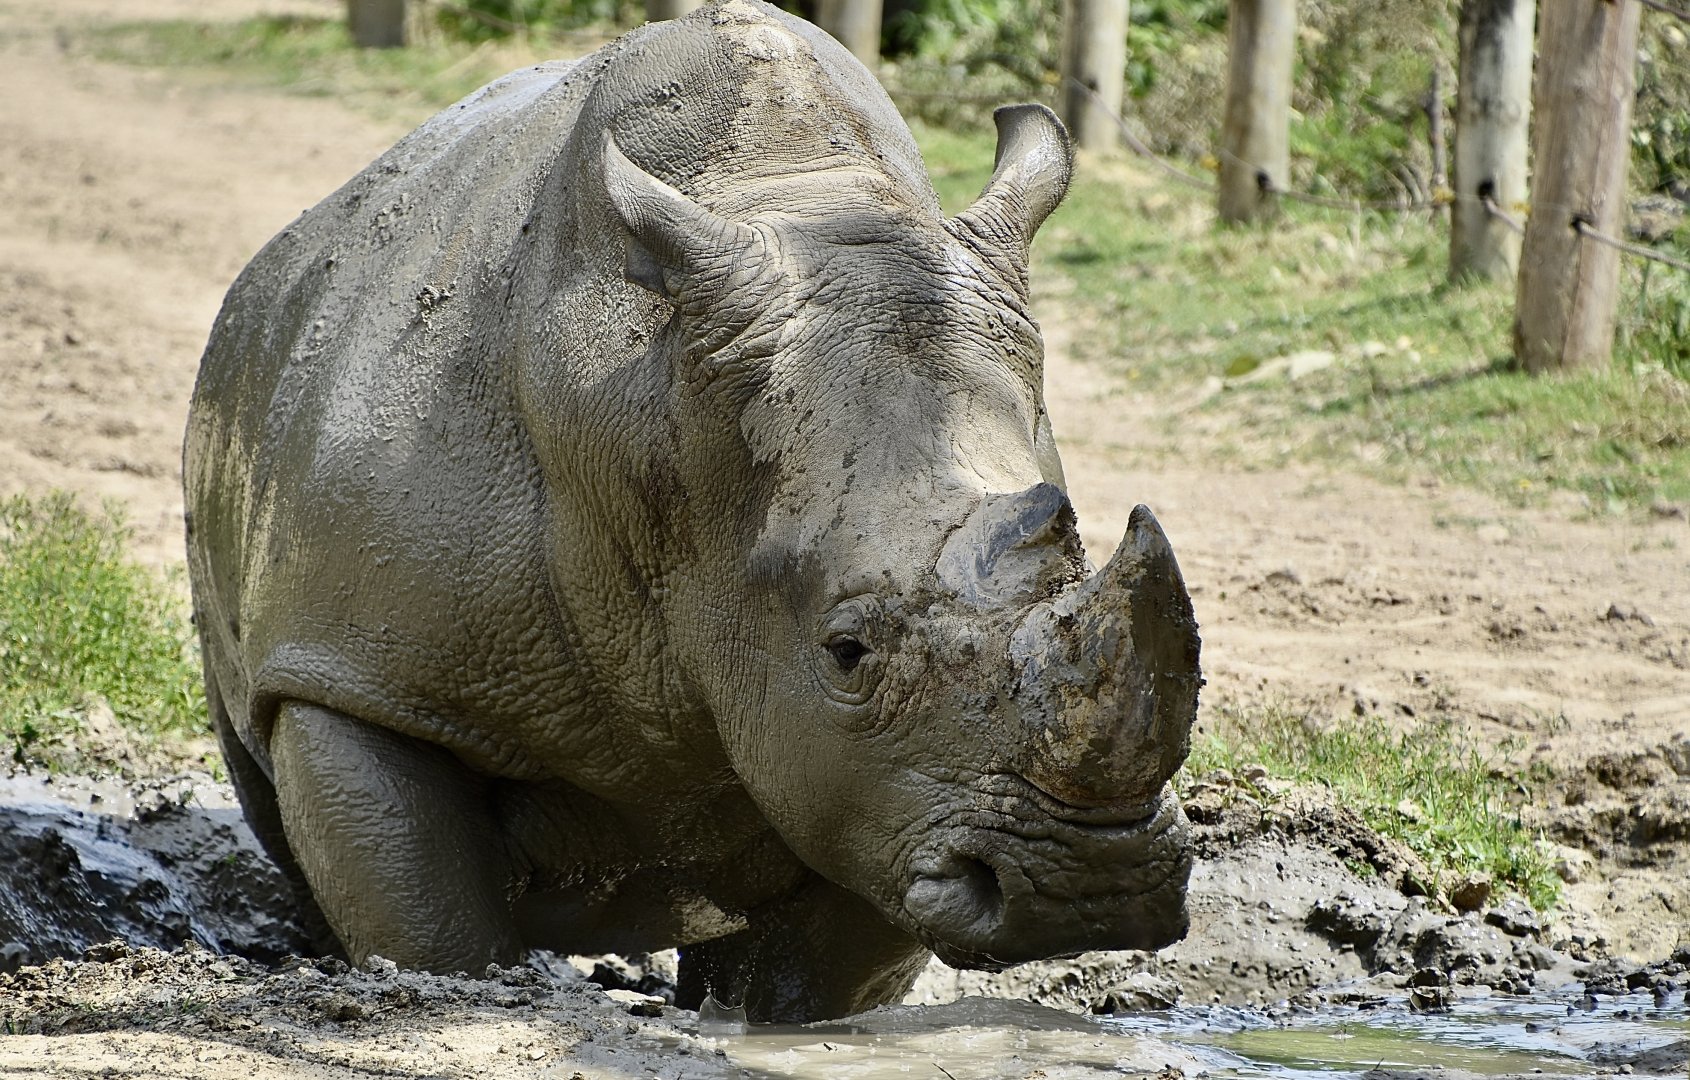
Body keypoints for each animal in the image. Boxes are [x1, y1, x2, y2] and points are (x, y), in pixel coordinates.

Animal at [183, 0, 1201, 1022]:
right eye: (846, 653)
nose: (1086, 884)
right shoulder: (358, 671)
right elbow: (430, 926)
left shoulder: (881, 793)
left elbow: (817, 964)